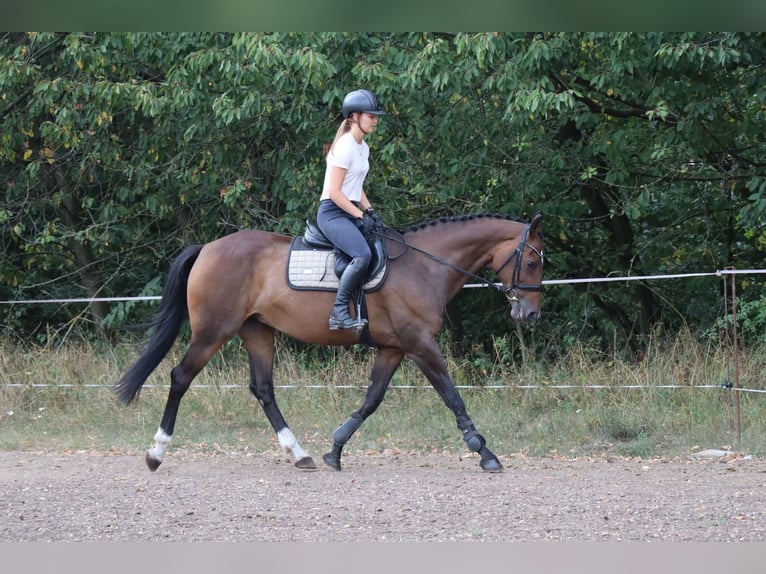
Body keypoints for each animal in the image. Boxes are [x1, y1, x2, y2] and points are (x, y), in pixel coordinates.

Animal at [115, 213, 544, 473]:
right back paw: (156, 452)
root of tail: (207, 248)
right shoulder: (420, 344)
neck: (424, 266)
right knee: (180, 377)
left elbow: (371, 401)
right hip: (212, 332)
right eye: (532, 262)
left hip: (257, 331)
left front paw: (334, 450)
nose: (530, 315)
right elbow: (452, 396)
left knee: (263, 389)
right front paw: (485, 452)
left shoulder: (394, 349)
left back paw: (300, 454)